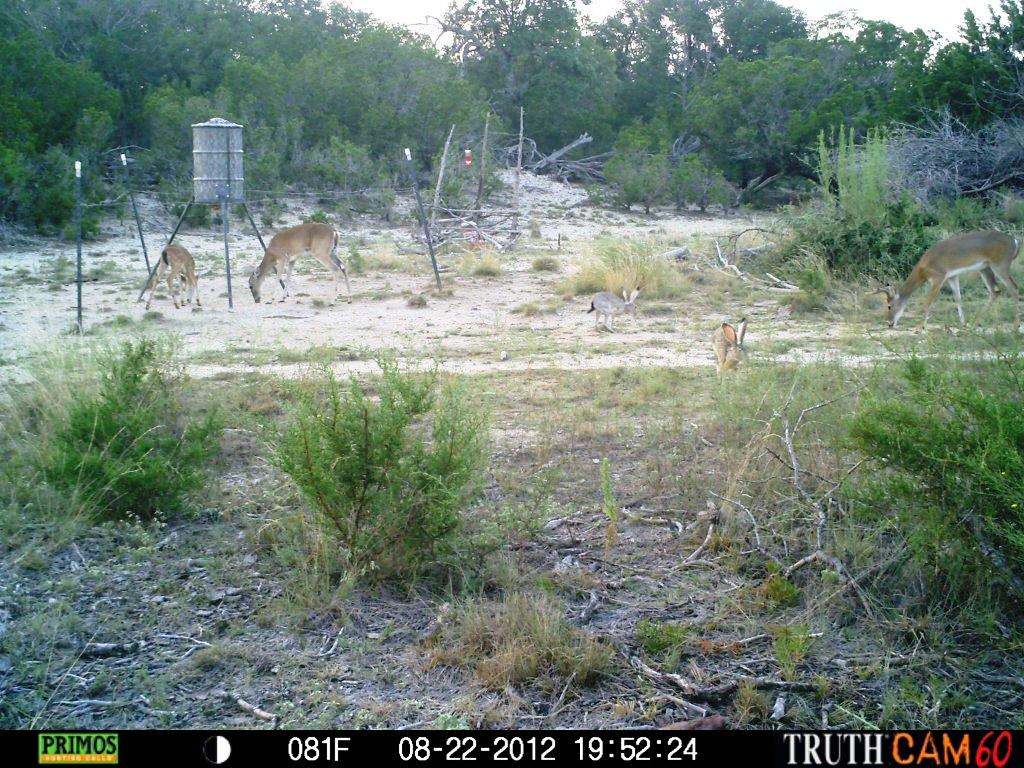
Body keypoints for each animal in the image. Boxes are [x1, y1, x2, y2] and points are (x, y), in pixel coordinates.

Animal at [874, 230, 1021, 329]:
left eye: (889, 306)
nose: (889, 323)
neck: (923, 269)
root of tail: (1015, 241)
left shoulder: (938, 277)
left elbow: (928, 301)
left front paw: (919, 327)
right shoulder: (952, 277)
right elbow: (958, 297)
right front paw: (963, 323)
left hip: (1000, 264)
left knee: (1014, 288)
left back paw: (1016, 325)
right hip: (985, 268)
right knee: (995, 290)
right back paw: (974, 322)